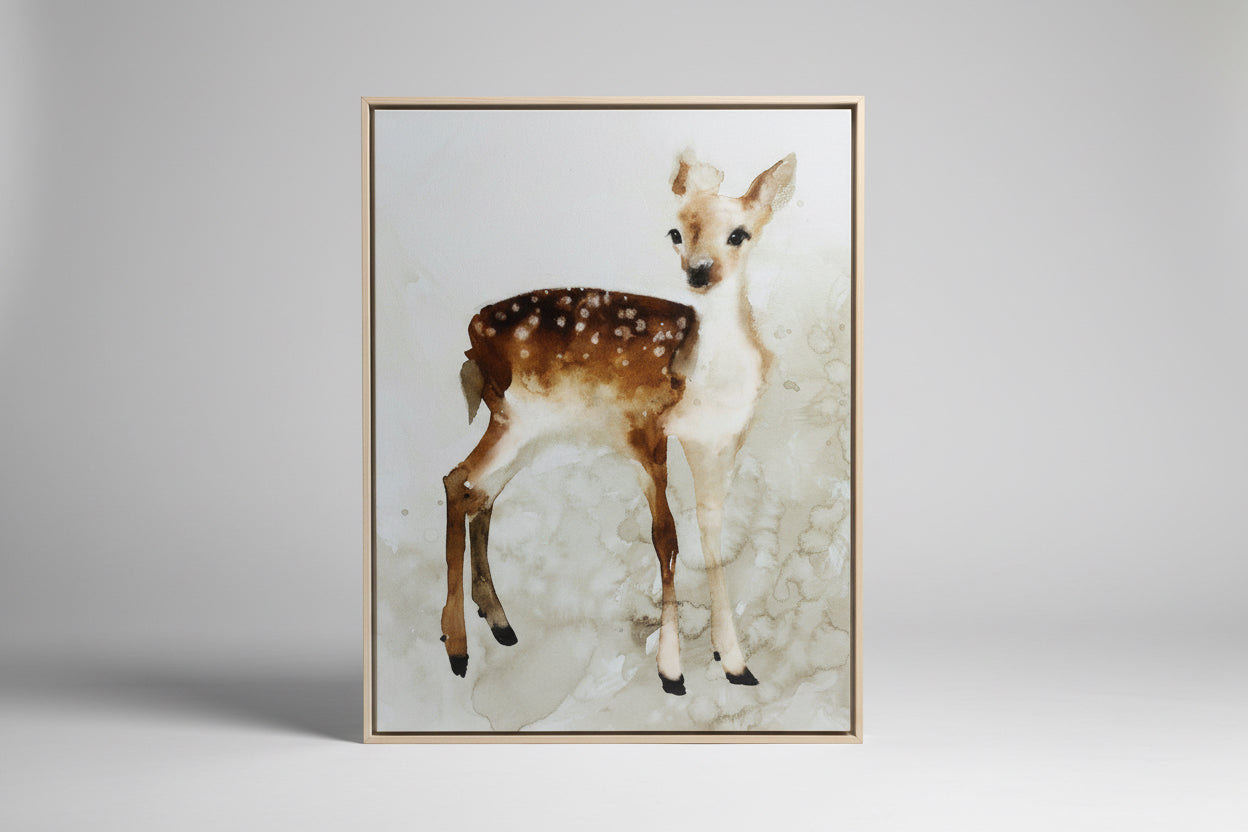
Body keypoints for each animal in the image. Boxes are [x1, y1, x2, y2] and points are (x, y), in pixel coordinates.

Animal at [440, 151, 796, 696]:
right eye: (675, 232)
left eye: (739, 233)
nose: (700, 273)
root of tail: (472, 335)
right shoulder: (643, 429)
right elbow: (666, 539)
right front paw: (672, 672)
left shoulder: (718, 441)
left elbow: (710, 539)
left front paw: (734, 663)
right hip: (515, 416)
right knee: (458, 480)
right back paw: (457, 647)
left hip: (529, 430)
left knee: (477, 491)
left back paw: (498, 622)